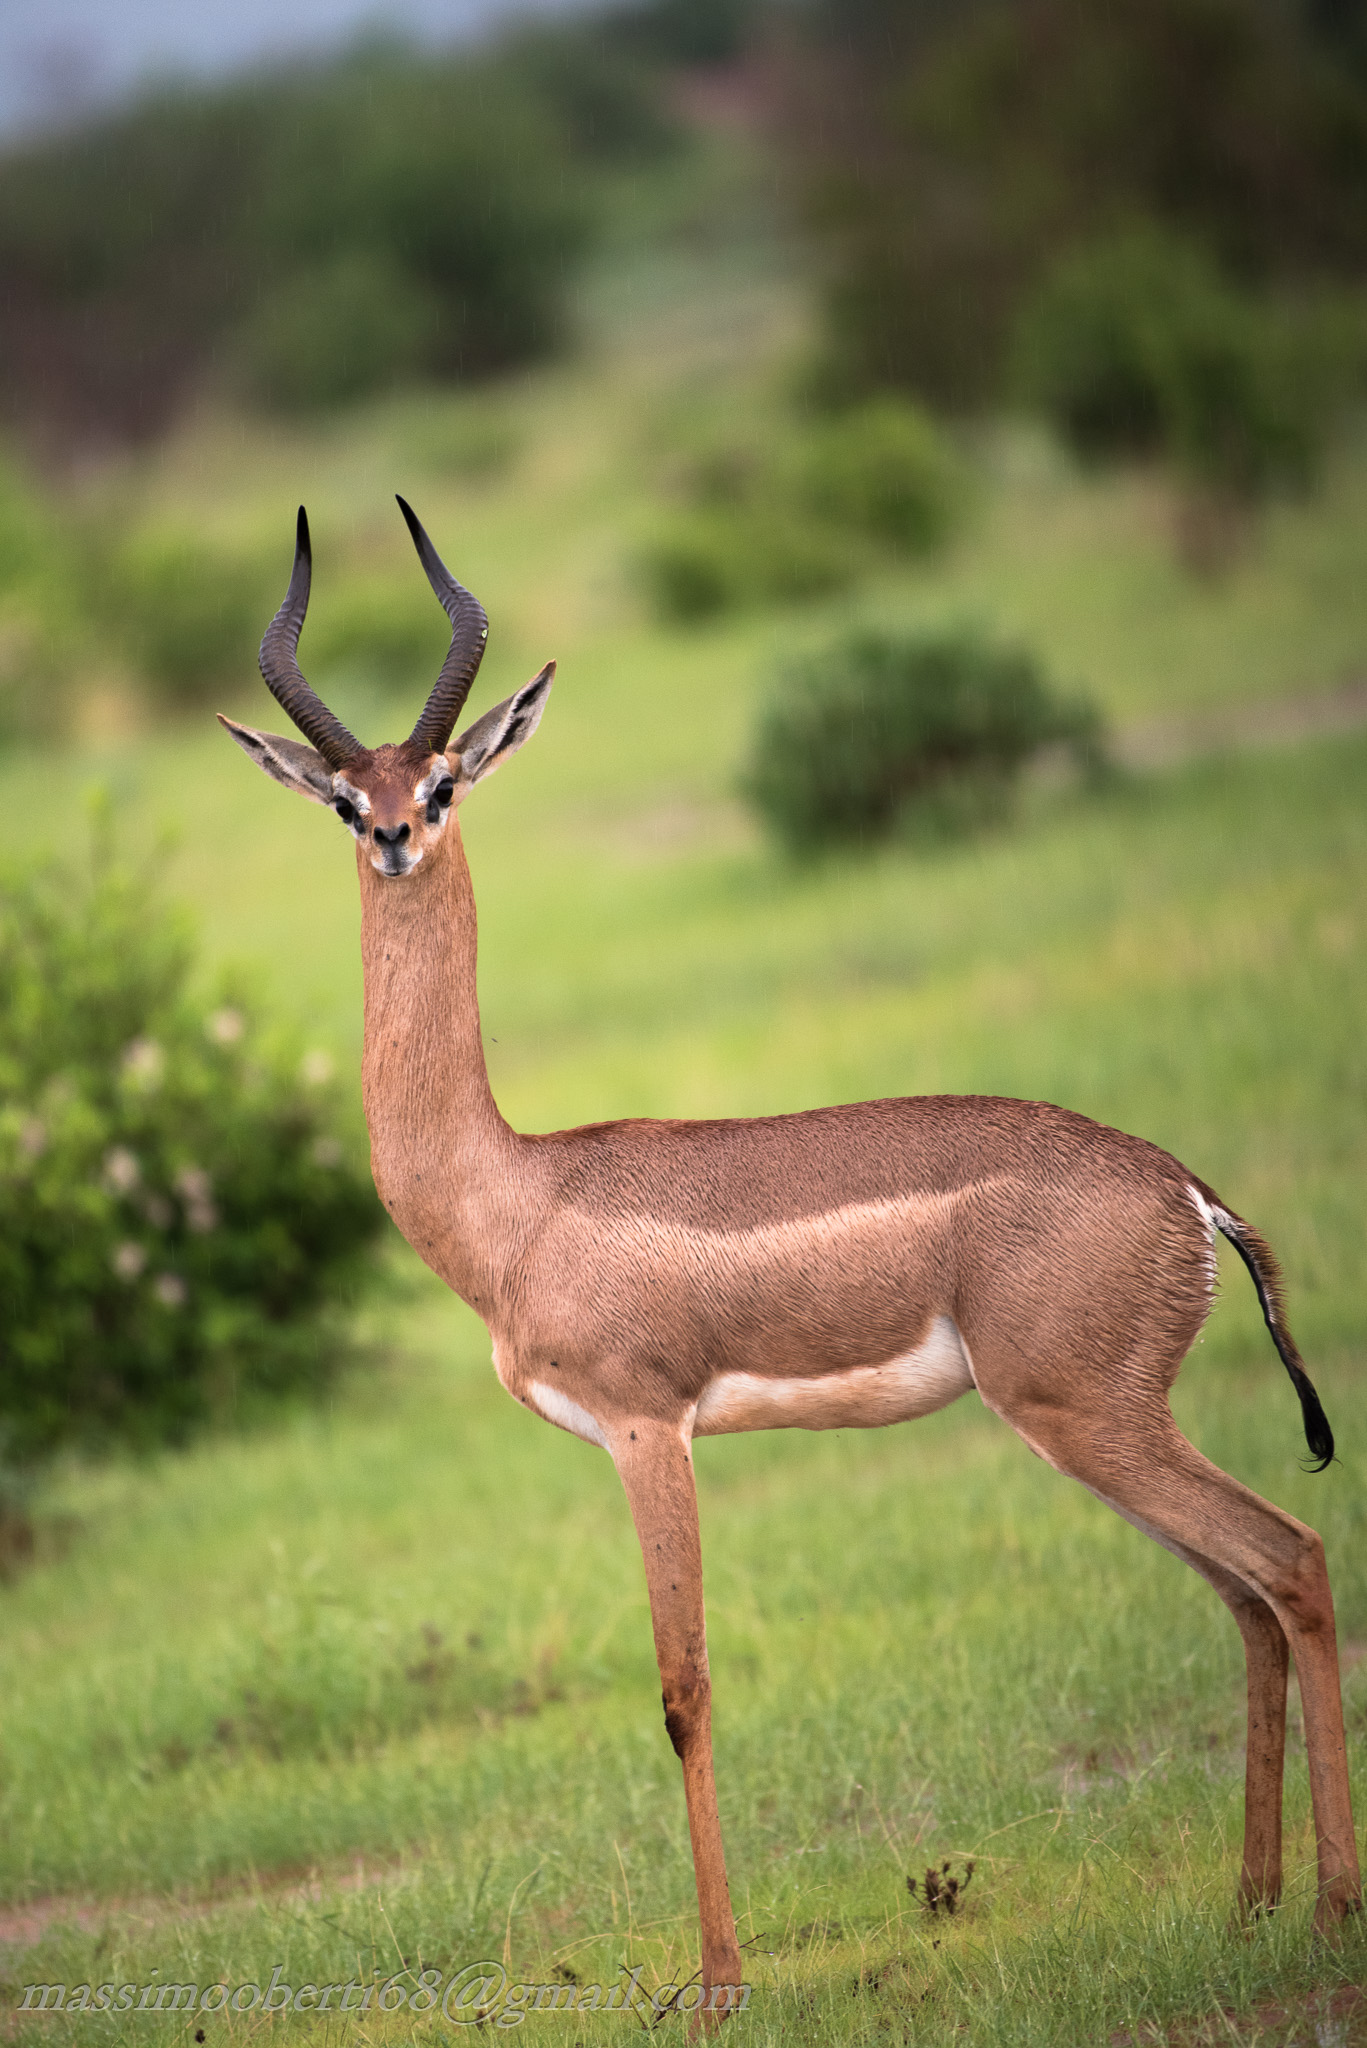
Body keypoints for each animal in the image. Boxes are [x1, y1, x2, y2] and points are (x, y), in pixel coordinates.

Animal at [222, 501, 1361, 2011]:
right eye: (349, 798)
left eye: (446, 781)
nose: (398, 836)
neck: (518, 1194)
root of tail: (1187, 1194)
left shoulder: (648, 1430)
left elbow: (681, 1688)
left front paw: (715, 1985)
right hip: (1093, 1428)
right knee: (1241, 1595)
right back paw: (1243, 1909)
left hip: (1084, 1415)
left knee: (1288, 1558)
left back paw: (1326, 1913)